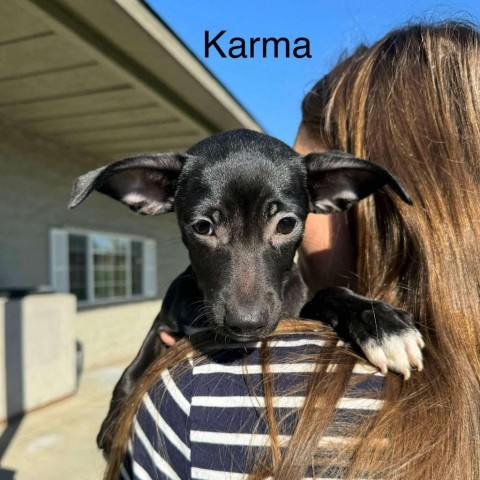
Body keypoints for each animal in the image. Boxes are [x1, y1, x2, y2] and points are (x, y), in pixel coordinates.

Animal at [68, 130, 424, 454]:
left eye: (286, 224)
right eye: (202, 227)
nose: (247, 324)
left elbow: (330, 292)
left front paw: (382, 325)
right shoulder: (164, 324)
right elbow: (135, 368)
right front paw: (115, 422)